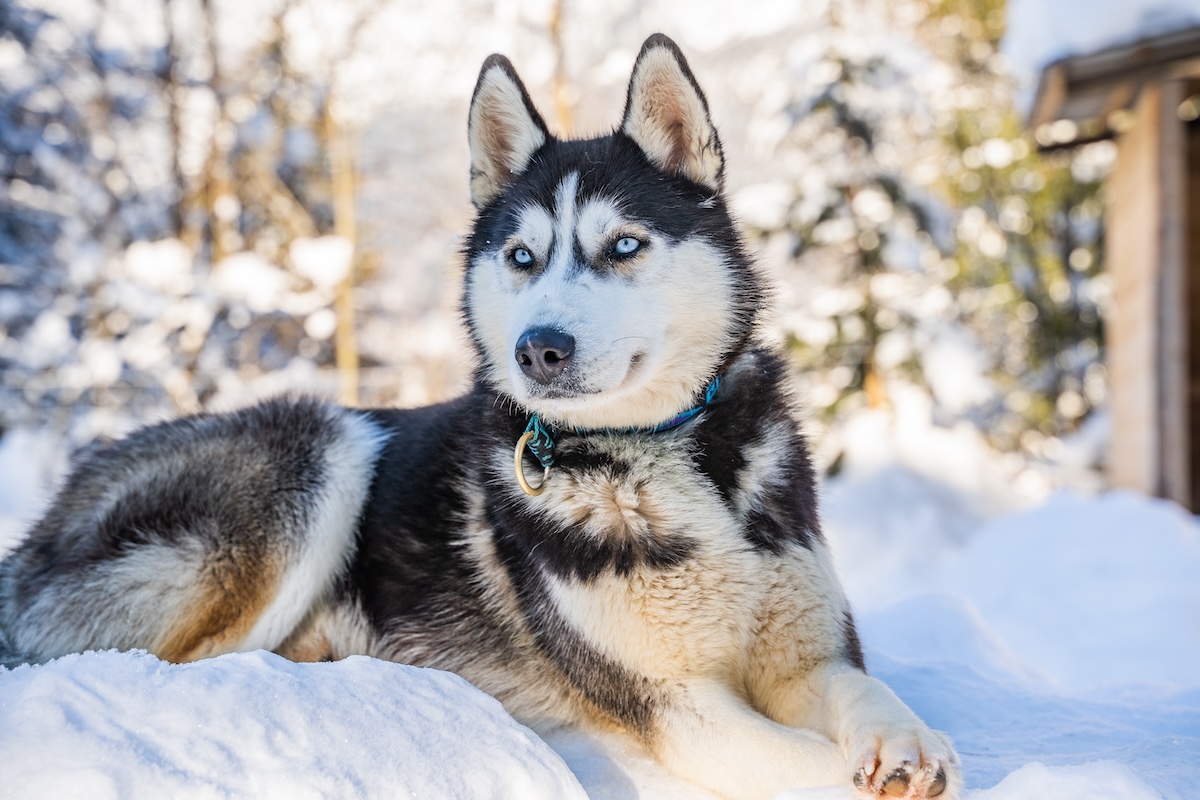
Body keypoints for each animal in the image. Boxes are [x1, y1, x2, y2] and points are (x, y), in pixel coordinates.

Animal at [0, 34, 955, 800]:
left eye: (624, 245)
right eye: (523, 257)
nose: (540, 348)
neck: (667, 458)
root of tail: (50, 517)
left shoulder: (810, 654)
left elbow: (865, 694)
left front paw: (909, 742)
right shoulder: (678, 708)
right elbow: (811, 765)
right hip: (320, 448)